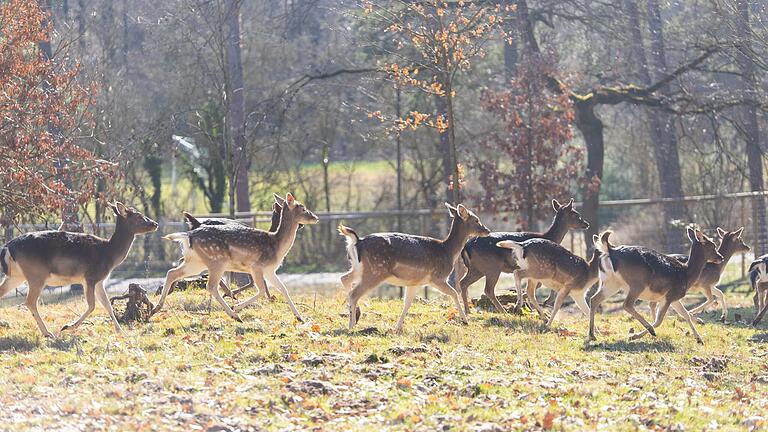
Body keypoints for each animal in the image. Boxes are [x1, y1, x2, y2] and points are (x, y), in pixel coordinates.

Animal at [0, 202, 158, 338]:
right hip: (36, 274)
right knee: (30, 301)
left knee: (4, 292)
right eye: (138, 216)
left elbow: (107, 305)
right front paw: (68, 327)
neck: (108, 254)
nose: (155, 224)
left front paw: (121, 332)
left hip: (16, 276)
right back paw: (47, 333)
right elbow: (92, 305)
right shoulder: (90, 277)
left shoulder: (99, 280)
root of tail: (8, 246)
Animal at [154, 194, 316, 322]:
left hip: (196, 262)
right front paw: (236, 306)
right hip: (217, 261)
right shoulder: (257, 267)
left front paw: (299, 317)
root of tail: (189, 235)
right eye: (302, 207)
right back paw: (234, 315)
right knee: (210, 286)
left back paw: (156, 307)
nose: (315, 217)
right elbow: (262, 290)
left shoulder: (270, 270)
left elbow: (283, 289)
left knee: (172, 272)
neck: (276, 245)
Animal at [338, 204, 492, 332]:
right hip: (375, 271)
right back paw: (351, 325)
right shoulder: (437, 277)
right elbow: (454, 292)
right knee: (354, 293)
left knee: (344, 278)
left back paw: (355, 315)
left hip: (359, 268)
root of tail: (357, 242)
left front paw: (397, 327)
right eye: (476, 220)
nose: (487, 230)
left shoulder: (414, 283)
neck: (447, 251)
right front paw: (465, 320)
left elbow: (407, 303)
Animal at [456, 198, 588, 314]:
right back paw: (504, 312)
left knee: (463, 283)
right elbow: (539, 285)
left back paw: (468, 310)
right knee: (488, 289)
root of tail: (466, 247)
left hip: (476, 268)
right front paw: (535, 303)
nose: (586, 223)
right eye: (576, 214)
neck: (549, 237)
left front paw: (529, 305)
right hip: (492, 266)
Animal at [584, 230, 724, 344]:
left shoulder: (674, 298)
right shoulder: (669, 296)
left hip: (610, 282)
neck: (686, 274)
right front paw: (635, 336)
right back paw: (649, 330)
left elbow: (686, 315)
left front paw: (699, 338)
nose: (721, 257)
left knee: (594, 299)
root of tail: (610, 251)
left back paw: (592, 335)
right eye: (713, 245)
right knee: (627, 304)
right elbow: (659, 320)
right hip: (637, 283)